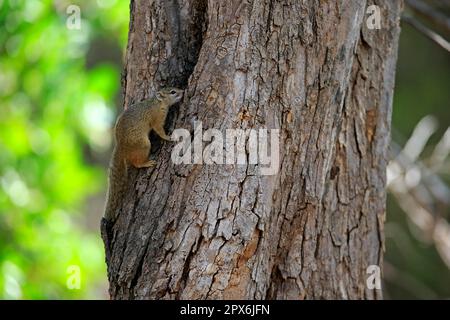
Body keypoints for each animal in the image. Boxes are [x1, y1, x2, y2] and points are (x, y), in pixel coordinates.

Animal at [103, 88, 183, 222]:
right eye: (172, 92)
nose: (182, 92)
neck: (157, 103)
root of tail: (121, 148)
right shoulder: (157, 118)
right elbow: (159, 130)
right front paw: (168, 137)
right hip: (144, 144)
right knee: (136, 163)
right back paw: (146, 163)